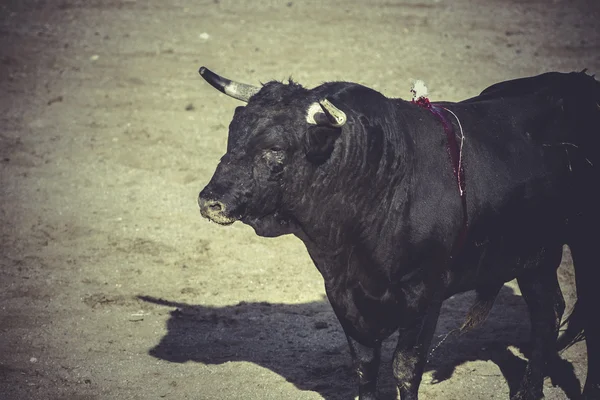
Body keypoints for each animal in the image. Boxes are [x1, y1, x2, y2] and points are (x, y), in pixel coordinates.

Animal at [195, 66, 596, 400]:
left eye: (275, 148)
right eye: (232, 134)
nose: (211, 201)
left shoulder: (426, 293)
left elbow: (405, 368)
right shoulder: (343, 292)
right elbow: (365, 367)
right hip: (535, 254)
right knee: (547, 312)